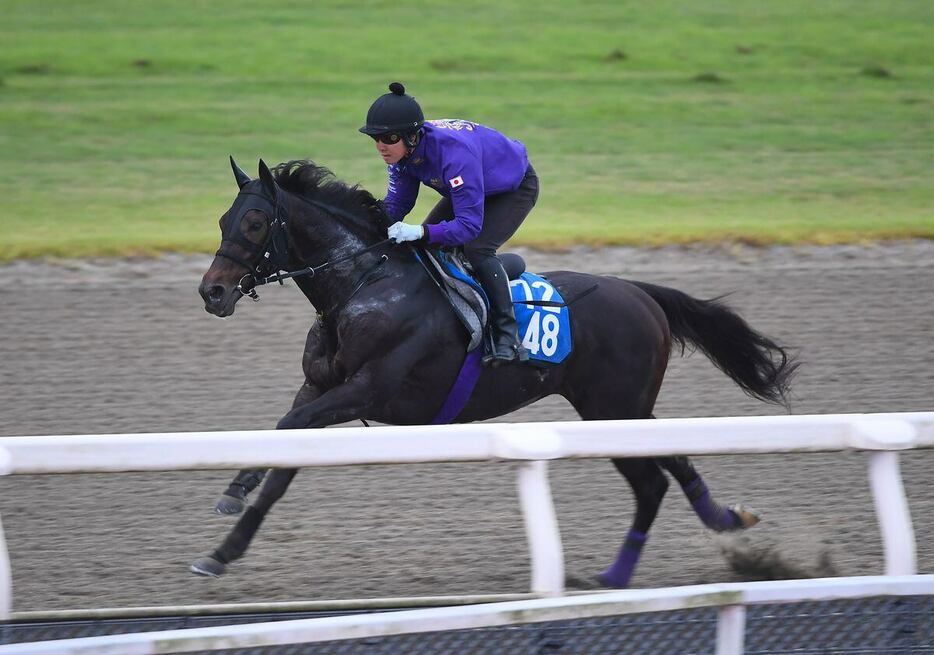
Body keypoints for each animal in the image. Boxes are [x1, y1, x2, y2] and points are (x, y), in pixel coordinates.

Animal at [196, 159, 796, 588]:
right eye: (223, 220)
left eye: (255, 222)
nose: (212, 292)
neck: (363, 287)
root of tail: (640, 291)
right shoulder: (319, 386)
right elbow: (283, 452)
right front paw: (226, 535)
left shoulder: (364, 391)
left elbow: (287, 430)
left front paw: (232, 504)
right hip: (614, 409)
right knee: (664, 469)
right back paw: (686, 539)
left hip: (616, 407)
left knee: (657, 476)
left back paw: (654, 557)